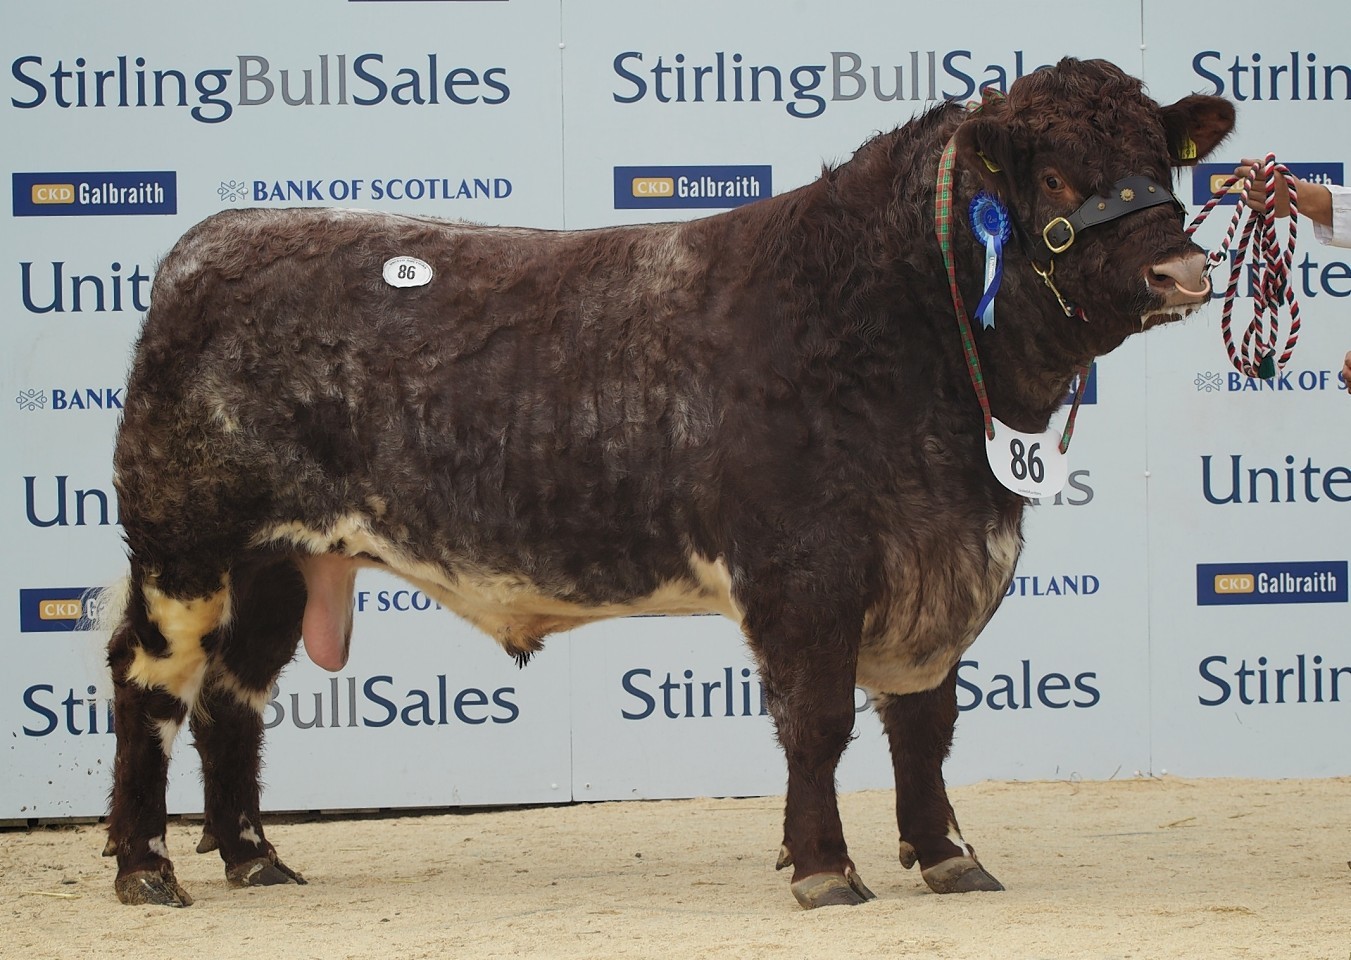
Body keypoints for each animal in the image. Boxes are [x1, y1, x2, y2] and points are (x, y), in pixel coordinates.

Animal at [99, 56, 1232, 912]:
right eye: (1056, 178)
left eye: (1156, 161)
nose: (1180, 273)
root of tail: (211, 243)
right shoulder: (804, 567)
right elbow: (817, 722)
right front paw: (824, 868)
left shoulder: (939, 563)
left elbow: (925, 723)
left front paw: (948, 856)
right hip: (184, 546)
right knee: (148, 684)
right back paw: (148, 868)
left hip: (278, 560)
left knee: (233, 697)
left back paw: (254, 857)